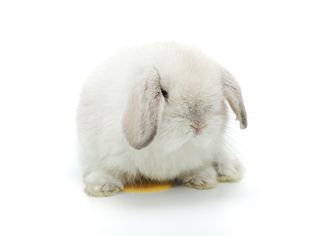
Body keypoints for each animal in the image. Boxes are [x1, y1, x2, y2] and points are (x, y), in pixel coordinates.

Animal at [77, 41, 249, 196]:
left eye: (218, 95)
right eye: (164, 93)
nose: (198, 125)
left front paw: (202, 179)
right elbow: (107, 169)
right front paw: (104, 187)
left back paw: (228, 169)